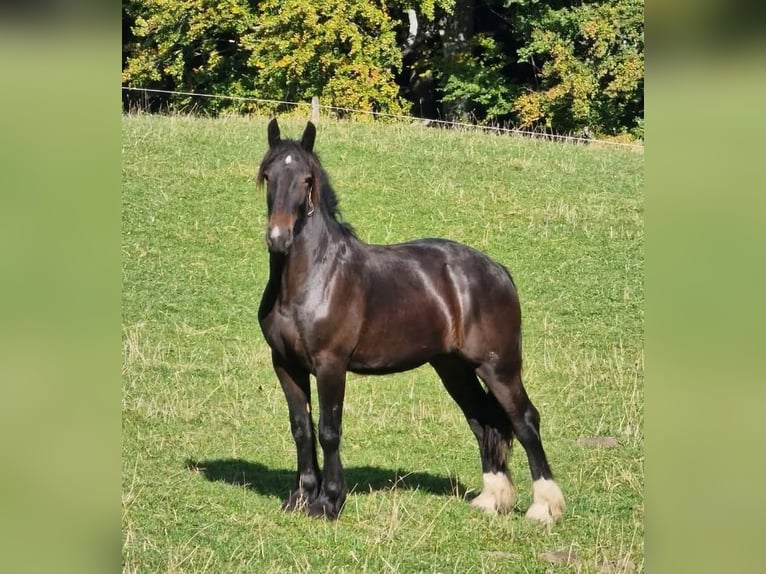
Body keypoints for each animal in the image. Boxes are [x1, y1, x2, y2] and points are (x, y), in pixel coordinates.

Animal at [256, 119, 564, 524]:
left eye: (307, 180)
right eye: (268, 176)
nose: (278, 238)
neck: (313, 280)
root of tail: (498, 271)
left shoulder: (330, 365)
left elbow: (328, 431)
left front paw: (329, 502)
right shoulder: (285, 365)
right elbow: (301, 430)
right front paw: (301, 498)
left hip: (499, 368)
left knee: (525, 421)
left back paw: (544, 508)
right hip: (453, 368)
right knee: (482, 421)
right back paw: (491, 499)